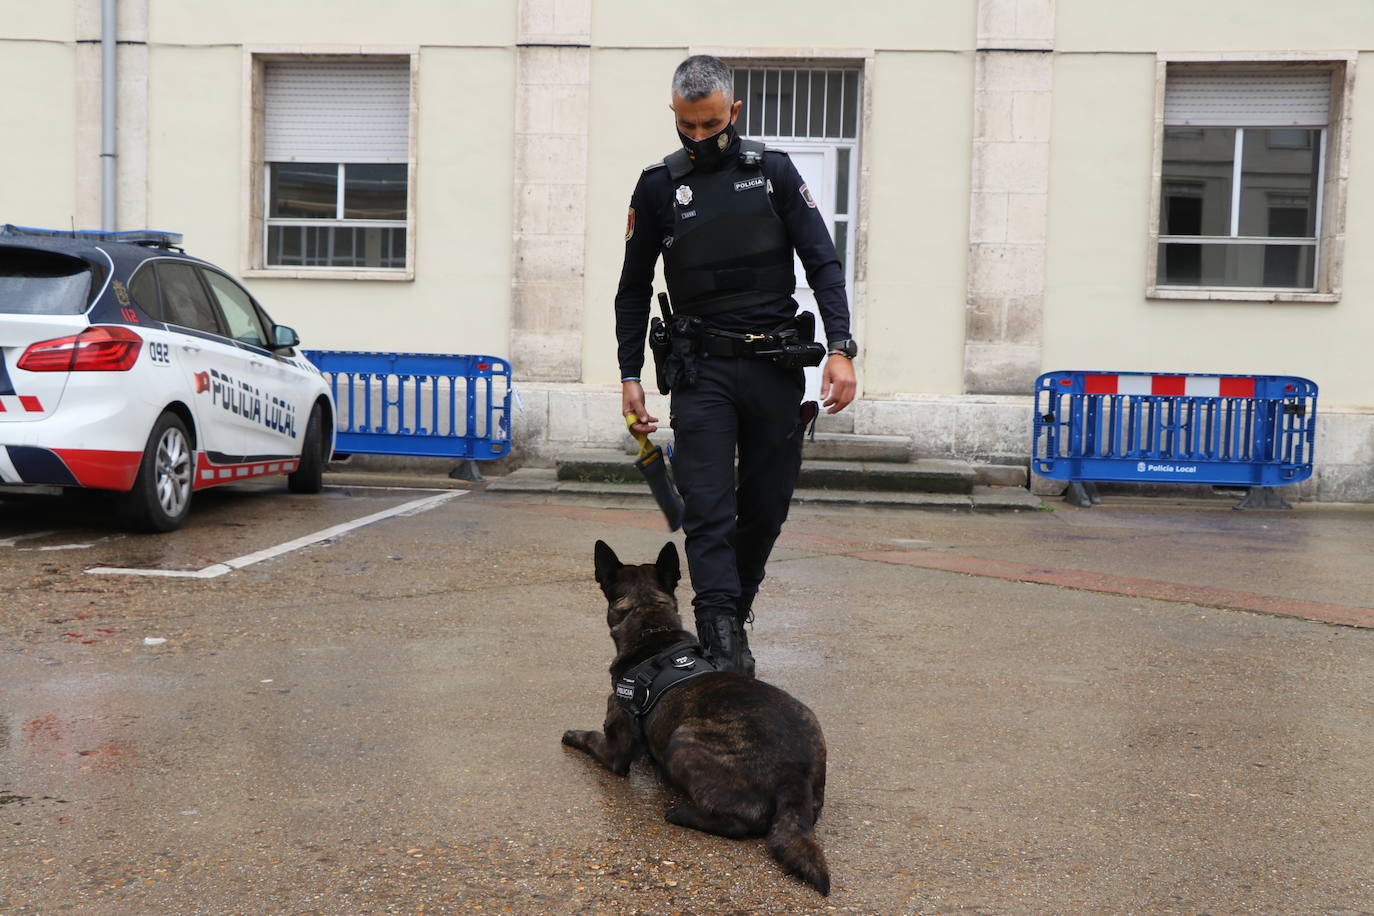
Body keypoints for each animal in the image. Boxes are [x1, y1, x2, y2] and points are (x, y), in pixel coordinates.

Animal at [557, 541, 824, 889]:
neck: (651, 624)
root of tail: (795, 771)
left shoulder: (615, 751)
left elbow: (592, 737)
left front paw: (574, 735)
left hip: (683, 741)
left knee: (737, 825)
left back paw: (682, 814)